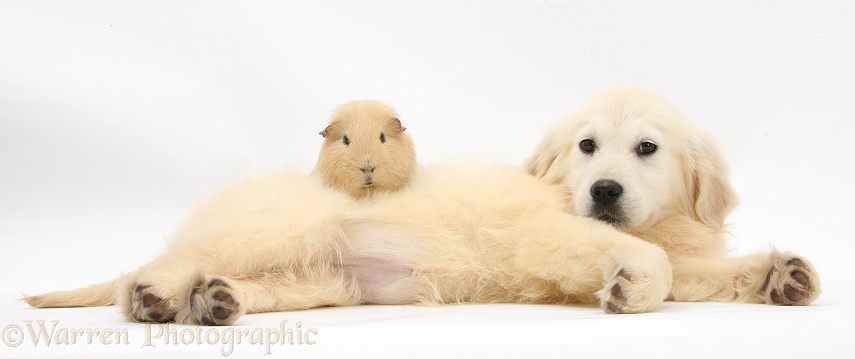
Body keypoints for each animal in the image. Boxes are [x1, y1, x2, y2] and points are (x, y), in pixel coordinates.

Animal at [524, 88, 820, 306]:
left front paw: (776, 275)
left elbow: (700, 270)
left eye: (647, 147)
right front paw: (641, 281)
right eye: (587, 144)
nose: (605, 190)